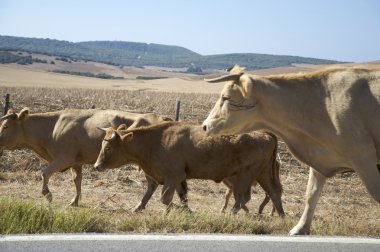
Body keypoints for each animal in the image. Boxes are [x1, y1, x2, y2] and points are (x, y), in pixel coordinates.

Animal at [93, 122, 284, 215]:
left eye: (108, 148)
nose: (96, 166)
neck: (157, 141)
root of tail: (264, 133)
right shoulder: (167, 177)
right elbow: (173, 196)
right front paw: (138, 208)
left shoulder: (173, 176)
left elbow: (165, 198)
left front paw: (179, 209)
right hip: (263, 174)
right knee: (273, 193)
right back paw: (281, 216)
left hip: (245, 176)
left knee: (243, 198)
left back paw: (231, 213)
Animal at [203, 65, 380, 234]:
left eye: (226, 97)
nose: (205, 126)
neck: (322, 104)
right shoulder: (319, 157)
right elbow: (311, 194)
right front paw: (300, 228)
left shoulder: (363, 158)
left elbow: (376, 193)